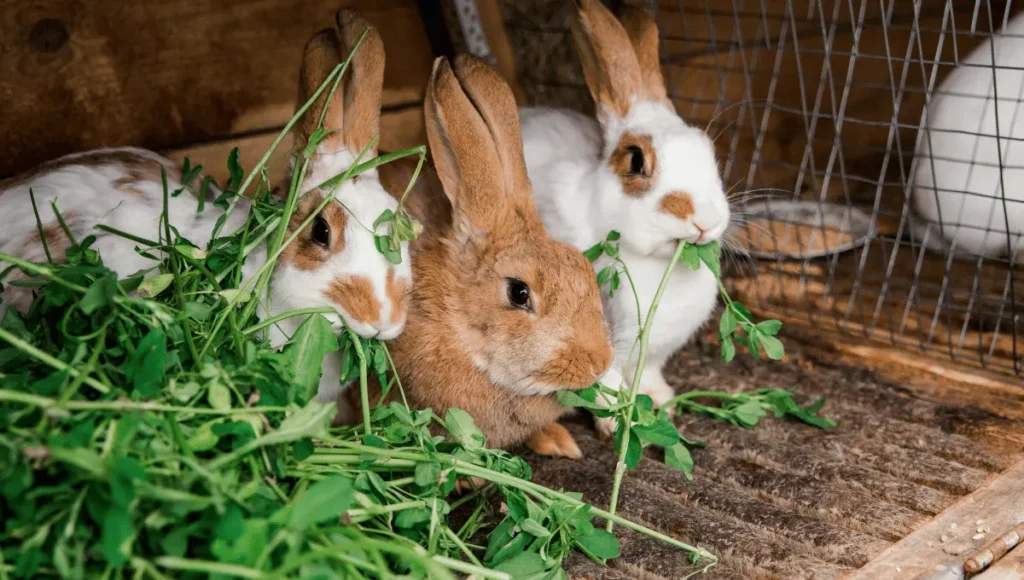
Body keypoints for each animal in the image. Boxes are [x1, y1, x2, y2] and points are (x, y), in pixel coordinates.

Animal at [520, 1, 729, 436]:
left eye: (708, 151)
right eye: (635, 160)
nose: (705, 220)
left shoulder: (653, 355)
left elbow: (647, 375)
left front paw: (661, 401)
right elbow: (603, 382)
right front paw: (616, 423)